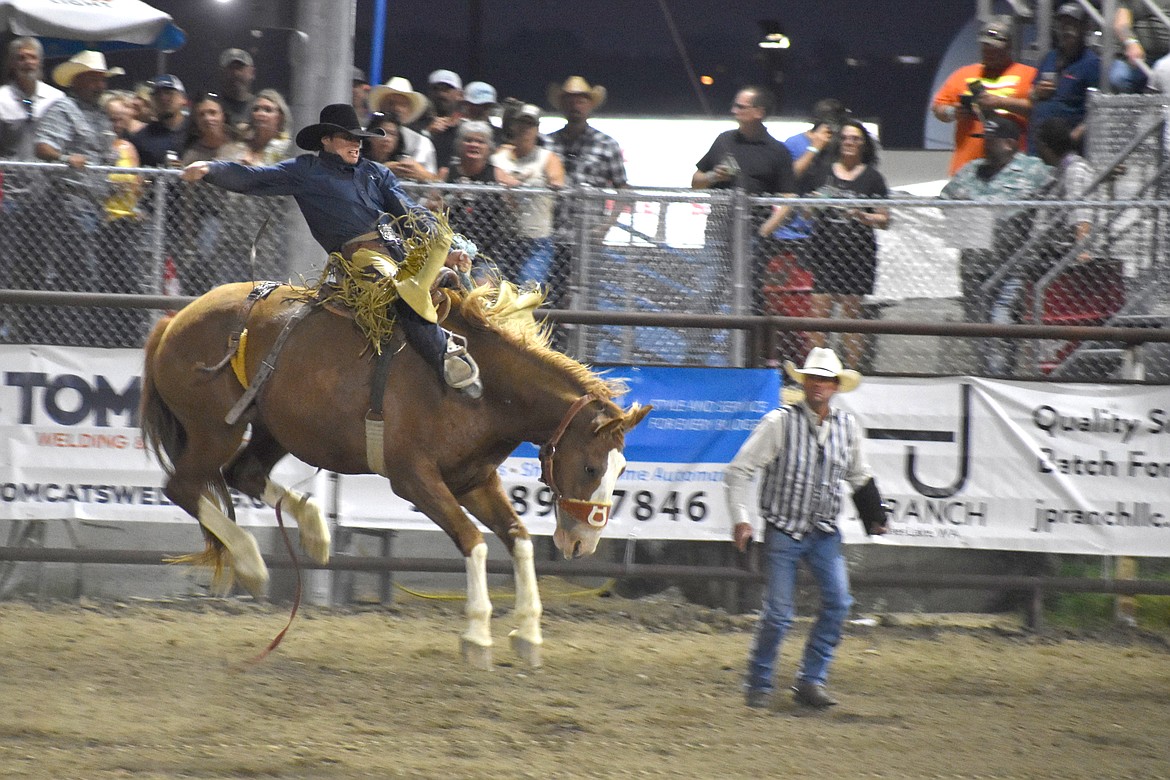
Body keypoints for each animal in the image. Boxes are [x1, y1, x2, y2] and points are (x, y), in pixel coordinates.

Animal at [140, 284, 650, 668]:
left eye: (622, 468)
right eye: (590, 466)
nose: (584, 541)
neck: (482, 391)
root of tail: (172, 322)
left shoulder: (474, 479)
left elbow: (518, 537)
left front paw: (527, 634)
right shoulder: (414, 479)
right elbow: (474, 541)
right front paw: (477, 635)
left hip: (274, 429)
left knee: (243, 473)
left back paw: (315, 533)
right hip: (214, 430)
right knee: (183, 486)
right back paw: (251, 561)